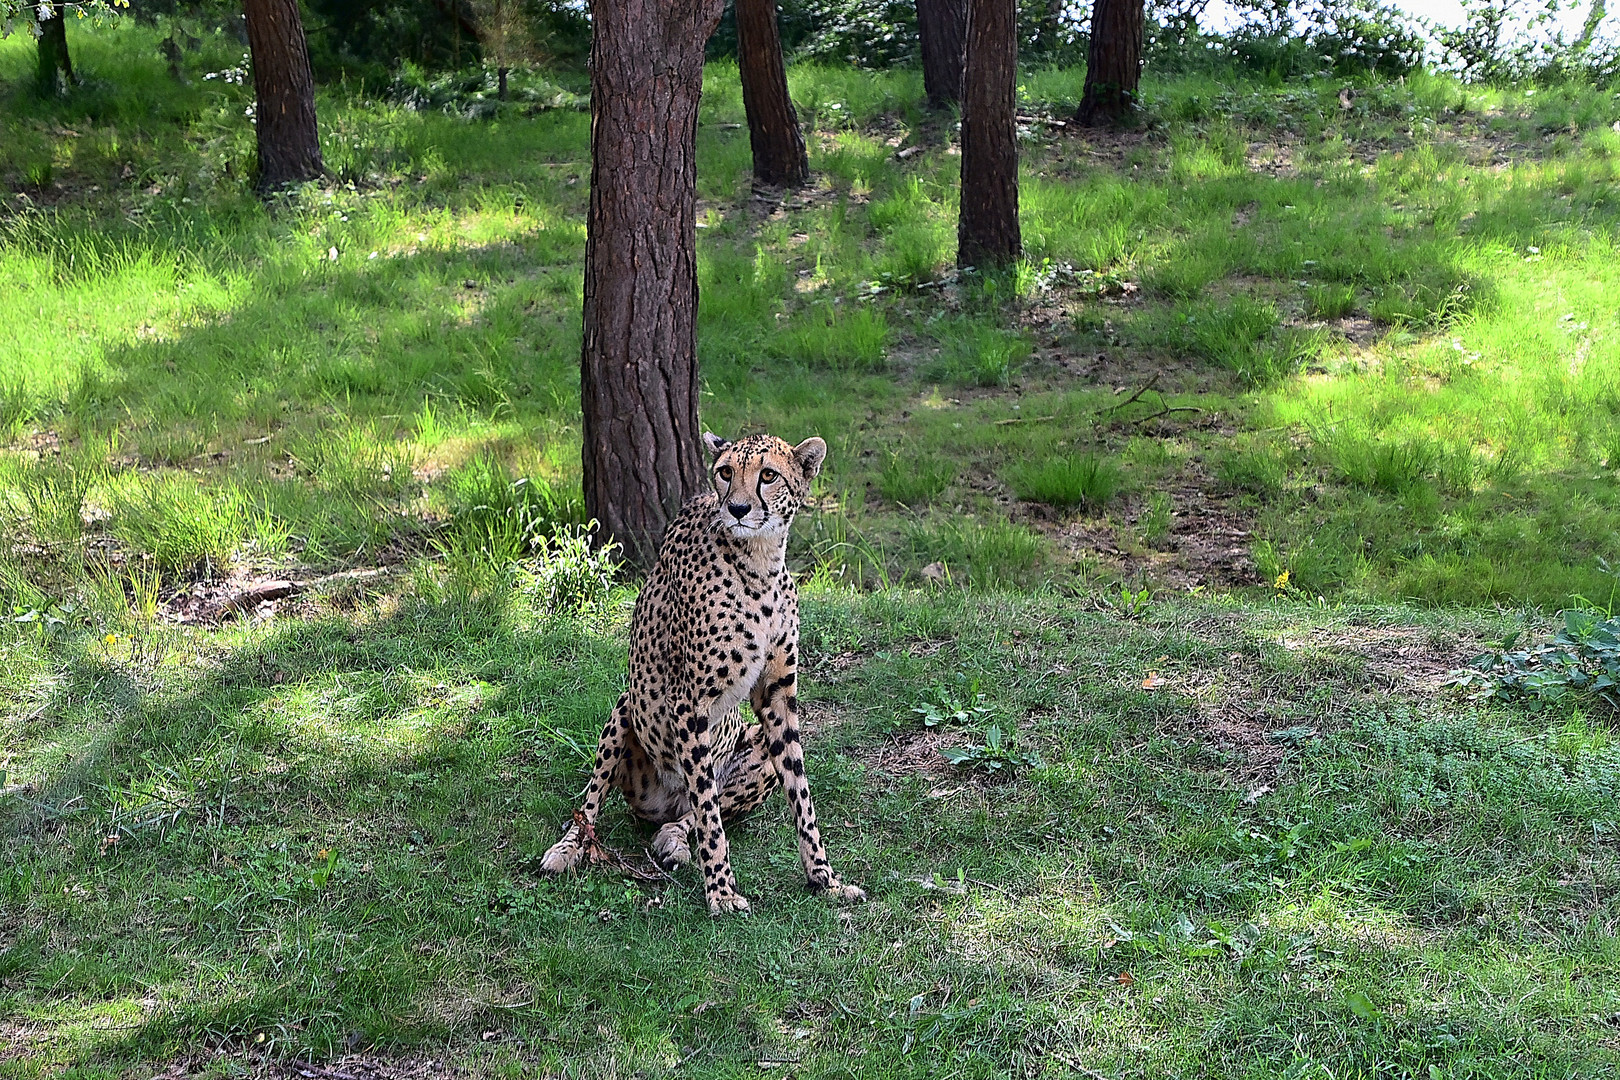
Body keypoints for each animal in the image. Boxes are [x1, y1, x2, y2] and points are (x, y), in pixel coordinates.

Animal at [541, 430, 874, 913]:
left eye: (768, 475)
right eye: (724, 472)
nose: (737, 509)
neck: (760, 561)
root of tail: (662, 801)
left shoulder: (777, 696)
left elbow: (800, 795)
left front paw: (823, 878)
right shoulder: (688, 703)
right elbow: (709, 812)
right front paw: (721, 891)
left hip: (751, 755)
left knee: (688, 815)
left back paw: (674, 840)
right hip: (625, 710)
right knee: (598, 802)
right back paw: (567, 849)